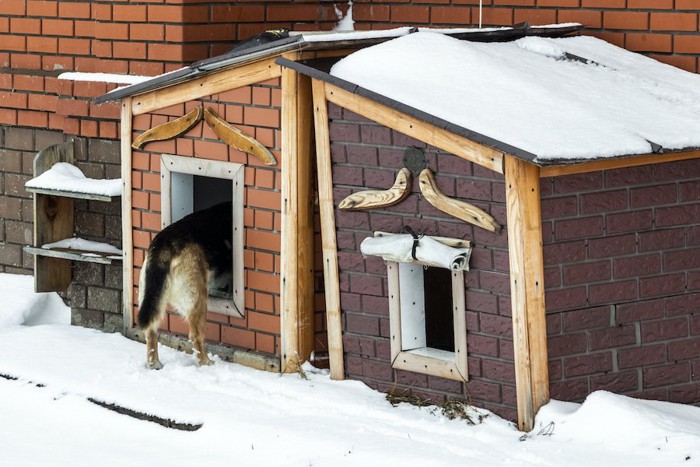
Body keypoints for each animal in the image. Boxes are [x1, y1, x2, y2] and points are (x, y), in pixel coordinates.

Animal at [137, 203, 232, 372]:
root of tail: (164, 246)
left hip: (148, 297)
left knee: (151, 331)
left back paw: (154, 364)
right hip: (198, 299)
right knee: (196, 335)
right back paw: (206, 363)